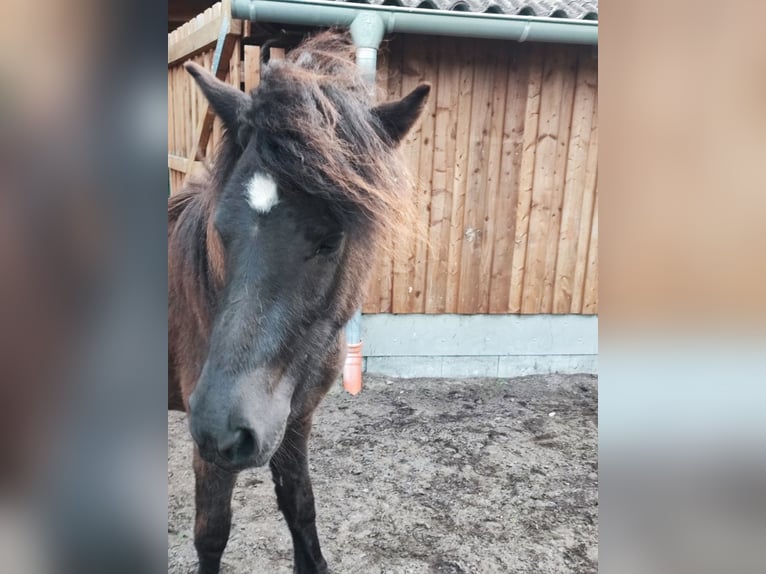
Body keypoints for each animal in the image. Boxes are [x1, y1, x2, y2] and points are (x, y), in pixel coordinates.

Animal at [168, 31, 429, 574]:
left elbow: (300, 506)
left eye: (331, 239)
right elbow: (211, 535)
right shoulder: (211, 451)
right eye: (220, 229)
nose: (223, 425)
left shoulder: (294, 420)